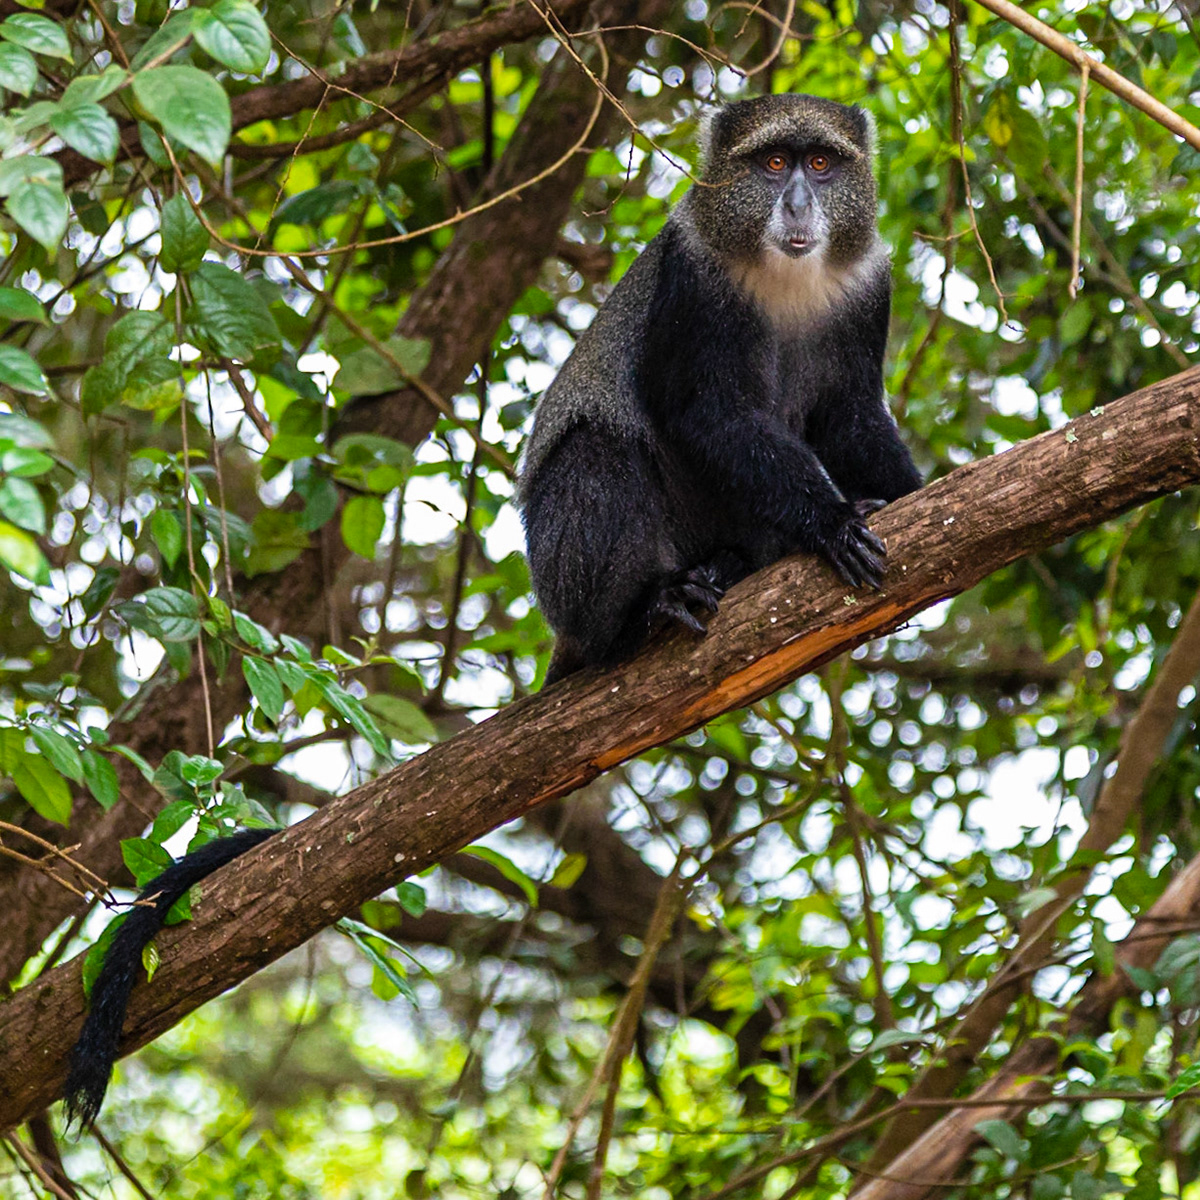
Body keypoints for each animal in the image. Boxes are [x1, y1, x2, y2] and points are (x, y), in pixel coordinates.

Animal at [519, 94, 923, 683]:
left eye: (820, 164)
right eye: (774, 163)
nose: (798, 205)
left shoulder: (869, 283)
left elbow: (848, 417)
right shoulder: (696, 272)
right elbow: (709, 413)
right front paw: (833, 522)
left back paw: (728, 565)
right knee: (594, 448)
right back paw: (642, 612)